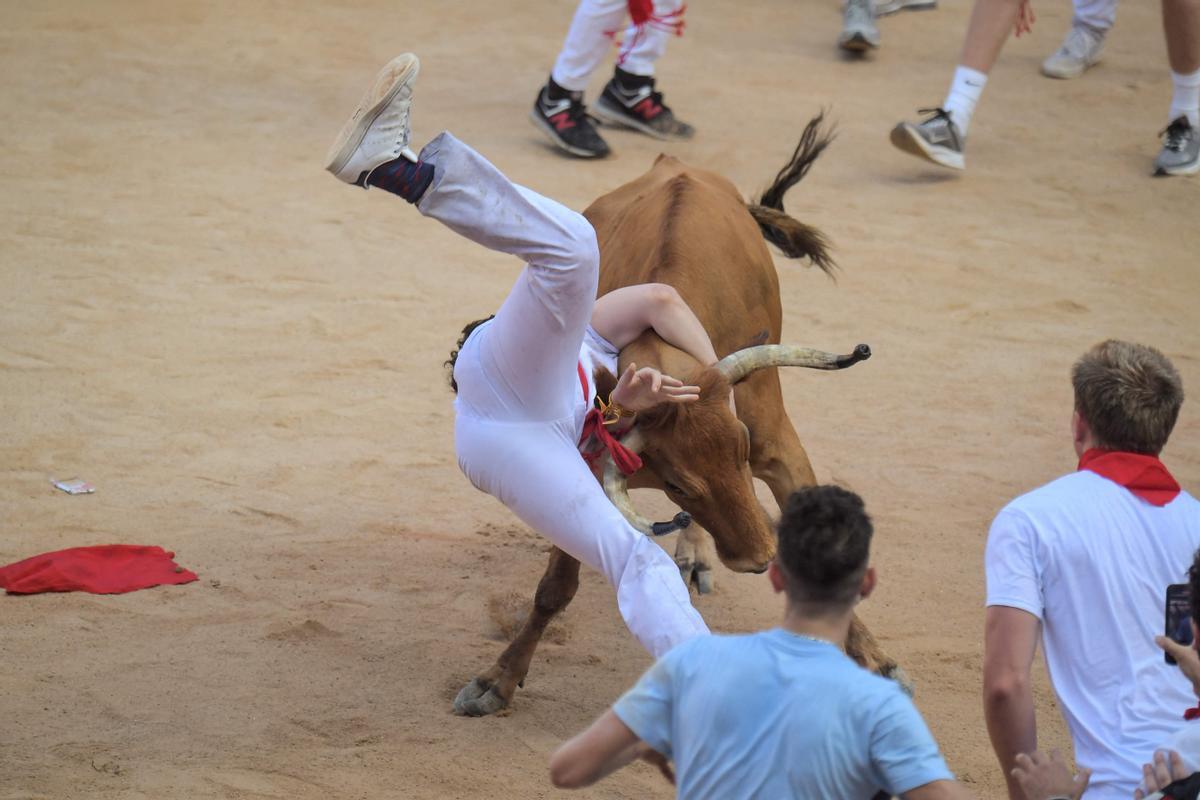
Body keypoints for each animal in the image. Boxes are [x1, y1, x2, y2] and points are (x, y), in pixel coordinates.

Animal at [453, 113, 902, 719]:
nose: (759, 557)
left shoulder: (777, 446)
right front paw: (499, 680)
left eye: (742, 450)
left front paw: (874, 659)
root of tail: (675, 165)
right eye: (678, 486)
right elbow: (555, 589)